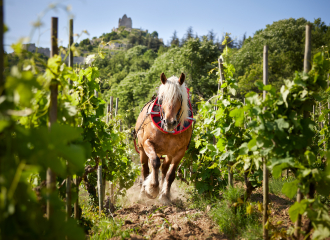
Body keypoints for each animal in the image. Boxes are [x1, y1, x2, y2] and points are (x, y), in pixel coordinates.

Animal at [134, 71, 193, 204]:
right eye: (161, 98)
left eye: (180, 97)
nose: (169, 122)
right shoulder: (147, 143)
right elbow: (155, 162)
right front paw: (152, 189)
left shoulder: (180, 151)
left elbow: (170, 174)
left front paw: (165, 195)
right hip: (142, 149)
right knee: (145, 169)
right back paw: (143, 192)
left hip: (169, 153)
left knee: (164, 168)